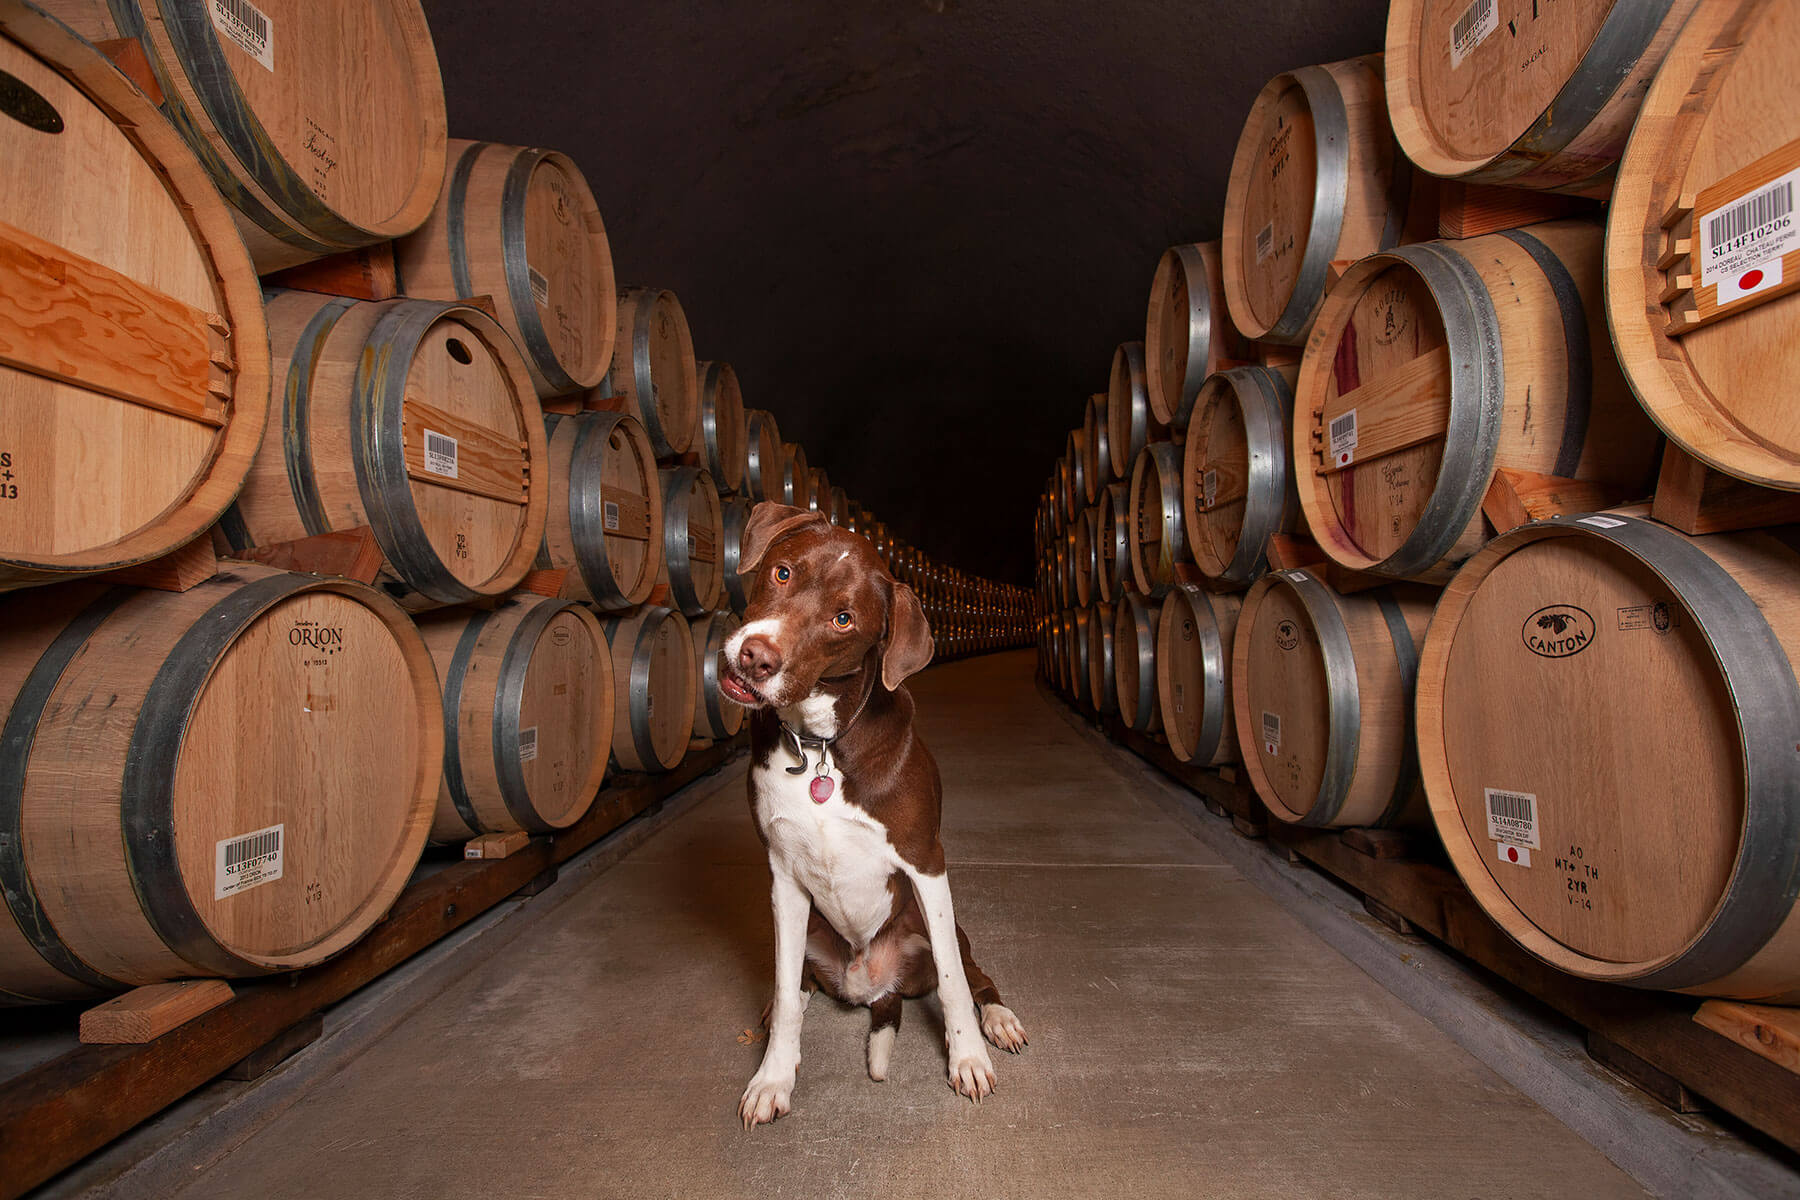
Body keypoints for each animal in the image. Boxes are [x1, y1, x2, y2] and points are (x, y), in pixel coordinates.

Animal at [716, 503, 1029, 1129]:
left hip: (936, 925)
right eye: (783, 573)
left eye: (843, 619)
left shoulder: (926, 863)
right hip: (812, 931)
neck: (820, 745)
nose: (756, 657)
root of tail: (872, 988)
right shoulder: (782, 876)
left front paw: (968, 1059)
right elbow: (785, 990)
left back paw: (999, 1018)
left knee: (971, 972)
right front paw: (773, 1077)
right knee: (797, 982)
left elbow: (953, 984)